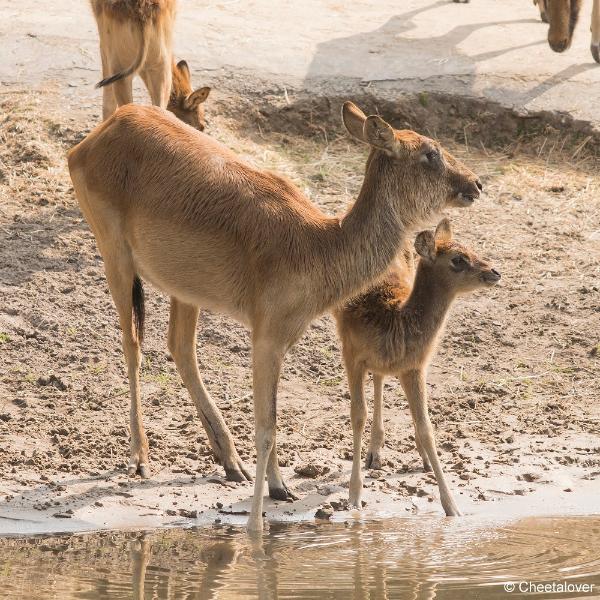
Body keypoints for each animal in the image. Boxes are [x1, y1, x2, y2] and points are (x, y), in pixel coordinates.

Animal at [65, 102, 480, 528]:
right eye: (430, 153)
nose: (476, 183)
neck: (317, 246)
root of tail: (91, 139)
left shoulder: (280, 336)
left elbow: (272, 414)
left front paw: (279, 486)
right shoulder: (264, 333)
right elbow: (267, 420)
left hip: (184, 286)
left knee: (180, 347)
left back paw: (230, 462)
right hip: (114, 252)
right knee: (133, 343)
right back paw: (141, 458)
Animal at [336, 220, 500, 516]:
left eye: (471, 248)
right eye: (457, 259)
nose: (495, 272)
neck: (395, 318)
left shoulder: (414, 367)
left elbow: (426, 427)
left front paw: (452, 507)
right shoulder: (351, 353)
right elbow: (357, 415)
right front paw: (354, 497)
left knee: (380, 377)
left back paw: (382, 453)